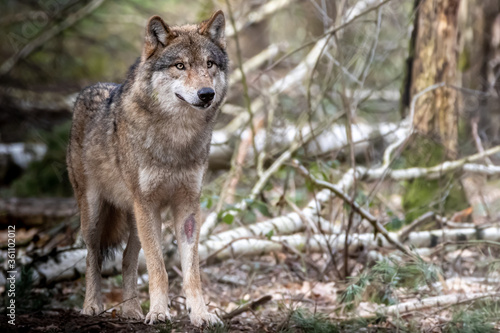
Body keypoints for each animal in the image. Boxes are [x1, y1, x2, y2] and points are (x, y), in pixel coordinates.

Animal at [66, 11, 229, 326]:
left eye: (209, 64)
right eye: (180, 65)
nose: (207, 93)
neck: (177, 138)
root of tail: (88, 90)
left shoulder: (188, 205)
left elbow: (192, 272)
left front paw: (201, 314)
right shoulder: (148, 204)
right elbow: (158, 268)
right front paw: (159, 312)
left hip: (133, 217)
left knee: (127, 259)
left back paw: (131, 310)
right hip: (95, 214)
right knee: (93, 257)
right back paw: (92, 305)